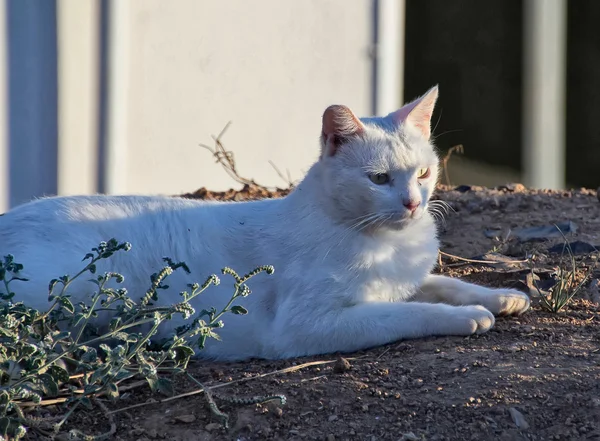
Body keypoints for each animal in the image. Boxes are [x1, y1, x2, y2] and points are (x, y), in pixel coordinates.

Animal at [0, 87, 528, 360]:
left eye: (423, 173)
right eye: (379, 179)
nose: (414, 204)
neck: (384, 241)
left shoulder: (405, 278)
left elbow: (440, 282)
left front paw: (502, 296)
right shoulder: (303, 326)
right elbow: (406, 312)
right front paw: (466, 317)